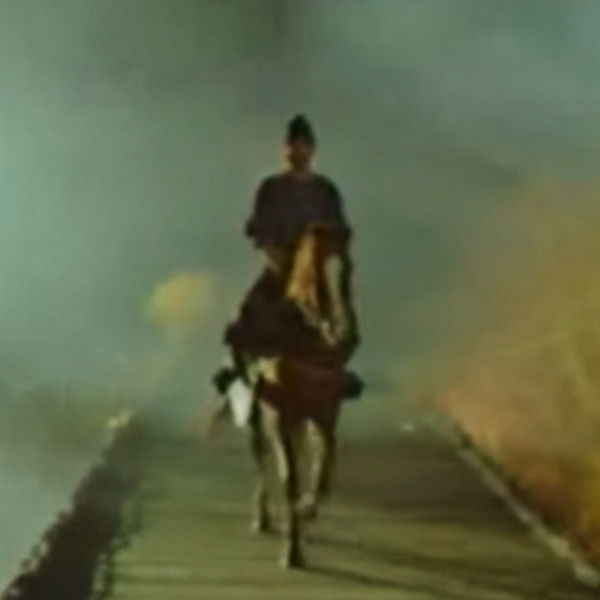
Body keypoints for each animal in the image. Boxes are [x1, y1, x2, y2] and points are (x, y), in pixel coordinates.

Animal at [214, 221, 360, 568]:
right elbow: (288, 476)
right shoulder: (278, 415)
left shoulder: (324, 412)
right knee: (260, 460)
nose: (346, 335)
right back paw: (262, 517)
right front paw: (291, 551)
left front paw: (308, 508)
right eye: (316, 275)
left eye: (349, 269)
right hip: (256, 416)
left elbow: (324, 459)